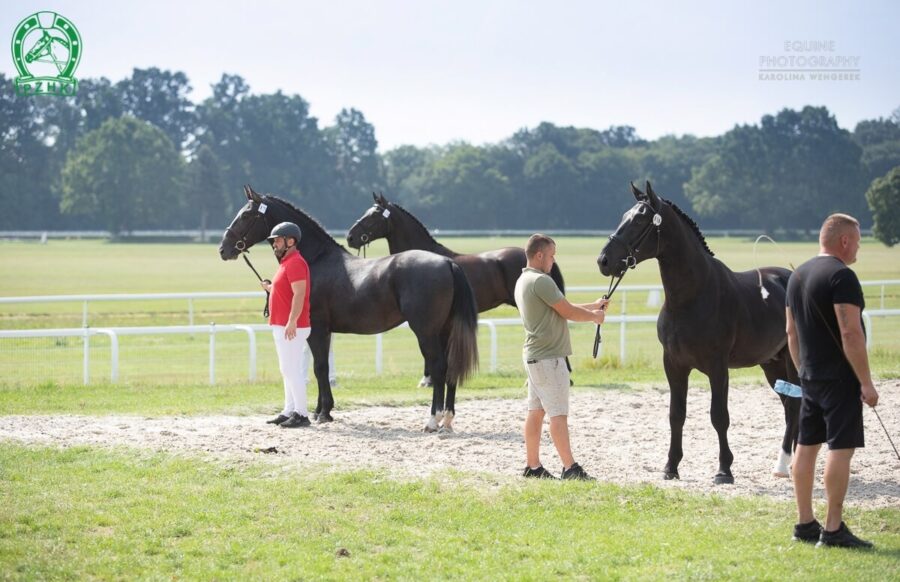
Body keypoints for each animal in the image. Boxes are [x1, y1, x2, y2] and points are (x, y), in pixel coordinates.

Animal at [218, 187, 478, 434]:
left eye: (246, 215)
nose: (223, 249)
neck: (316, 260)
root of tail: (447, 263)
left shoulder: (318, 329)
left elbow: (320, 368)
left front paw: (323, 413)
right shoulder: (320, 331)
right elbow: (318, 368)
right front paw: (319, 411)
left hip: (426, 332)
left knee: (438, 367)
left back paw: (433, 421)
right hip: (444, 330)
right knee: (450, 367)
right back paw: (447, 420)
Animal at [596, 181, 800, 484]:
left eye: (640, 221)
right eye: (624, 216)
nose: (604, 260)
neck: (692, 298)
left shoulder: (718, 367)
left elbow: (719, 416)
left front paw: (724, 470)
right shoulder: (674, 365)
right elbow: (676, 415)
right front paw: (671, 467)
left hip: (791, 360)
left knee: (796, 405)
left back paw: (789, 464)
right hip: (771, 363)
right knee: (789, 406)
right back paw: (789, 464)